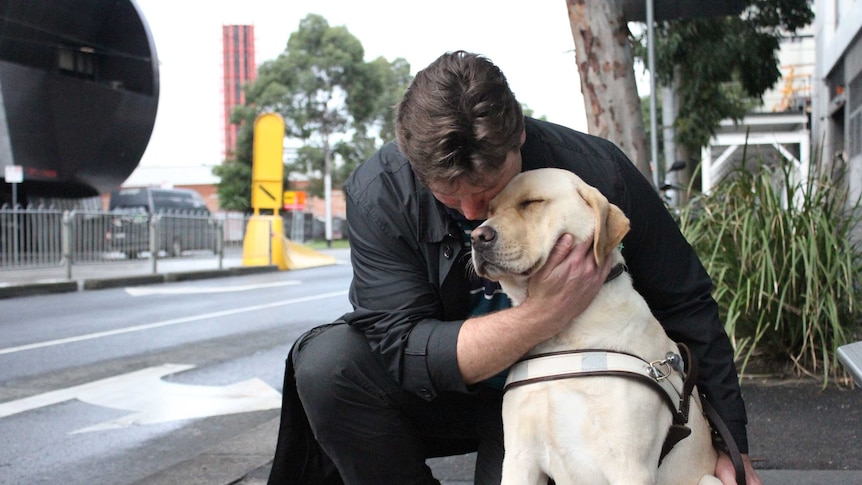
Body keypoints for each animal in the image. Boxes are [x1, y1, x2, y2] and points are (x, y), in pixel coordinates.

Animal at [472, 169, 724, 484]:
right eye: (490, 211)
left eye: (531, 202)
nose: (477, 237)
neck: (565, 336)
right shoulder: (519, 458)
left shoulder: (630, 466)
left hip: (710, 479)